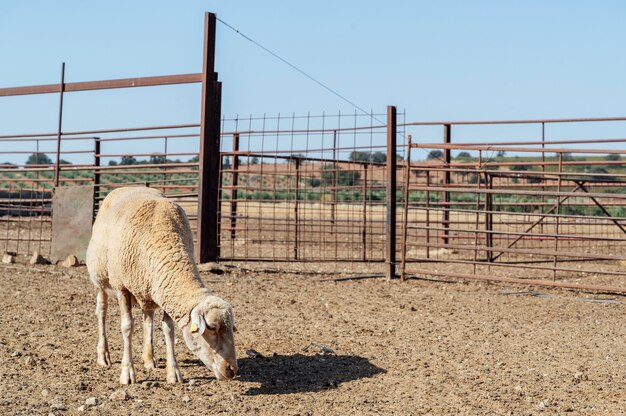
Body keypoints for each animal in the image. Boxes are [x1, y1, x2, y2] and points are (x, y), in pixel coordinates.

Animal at [85, 187, 236, 386]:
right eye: (211, 327)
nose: (232, 370)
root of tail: (120, 189)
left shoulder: (165, 290)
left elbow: (168, 329)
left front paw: (173, 372)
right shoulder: (121, 287)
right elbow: (127, 327)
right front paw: (127, 373)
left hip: (147, 288)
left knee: (147, 318)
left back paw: (149, 359)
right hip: (101, 281)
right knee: (101, 312)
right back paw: (103, 355)